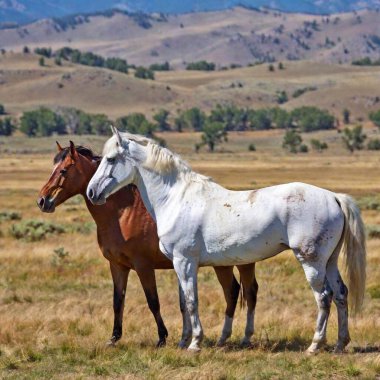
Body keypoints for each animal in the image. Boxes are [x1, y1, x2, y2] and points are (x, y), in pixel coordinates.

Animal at [37, 142, 258, 348]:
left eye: (63, 170)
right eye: (53, 167)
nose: (42, 200)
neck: (123, 214)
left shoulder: (143, 266)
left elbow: (153, 301)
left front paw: (162, 337)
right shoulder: (117, 266)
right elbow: (118, 301)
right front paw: (114, 337)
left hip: (232, 264)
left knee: (237, 292)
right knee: (241, 291)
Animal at [86, 127, 366, 354]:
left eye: (110, 159)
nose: (91, 192)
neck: (176, 198)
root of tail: (333, 197)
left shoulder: (185, 262)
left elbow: (192, 301)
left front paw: (195, 343)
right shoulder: (178, 264)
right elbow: (183, 302)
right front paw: (183, 341)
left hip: (312, 262)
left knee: (324, 297)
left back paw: (315, 345)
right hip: (329, 262)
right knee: (341, 294)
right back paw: (340, 344)